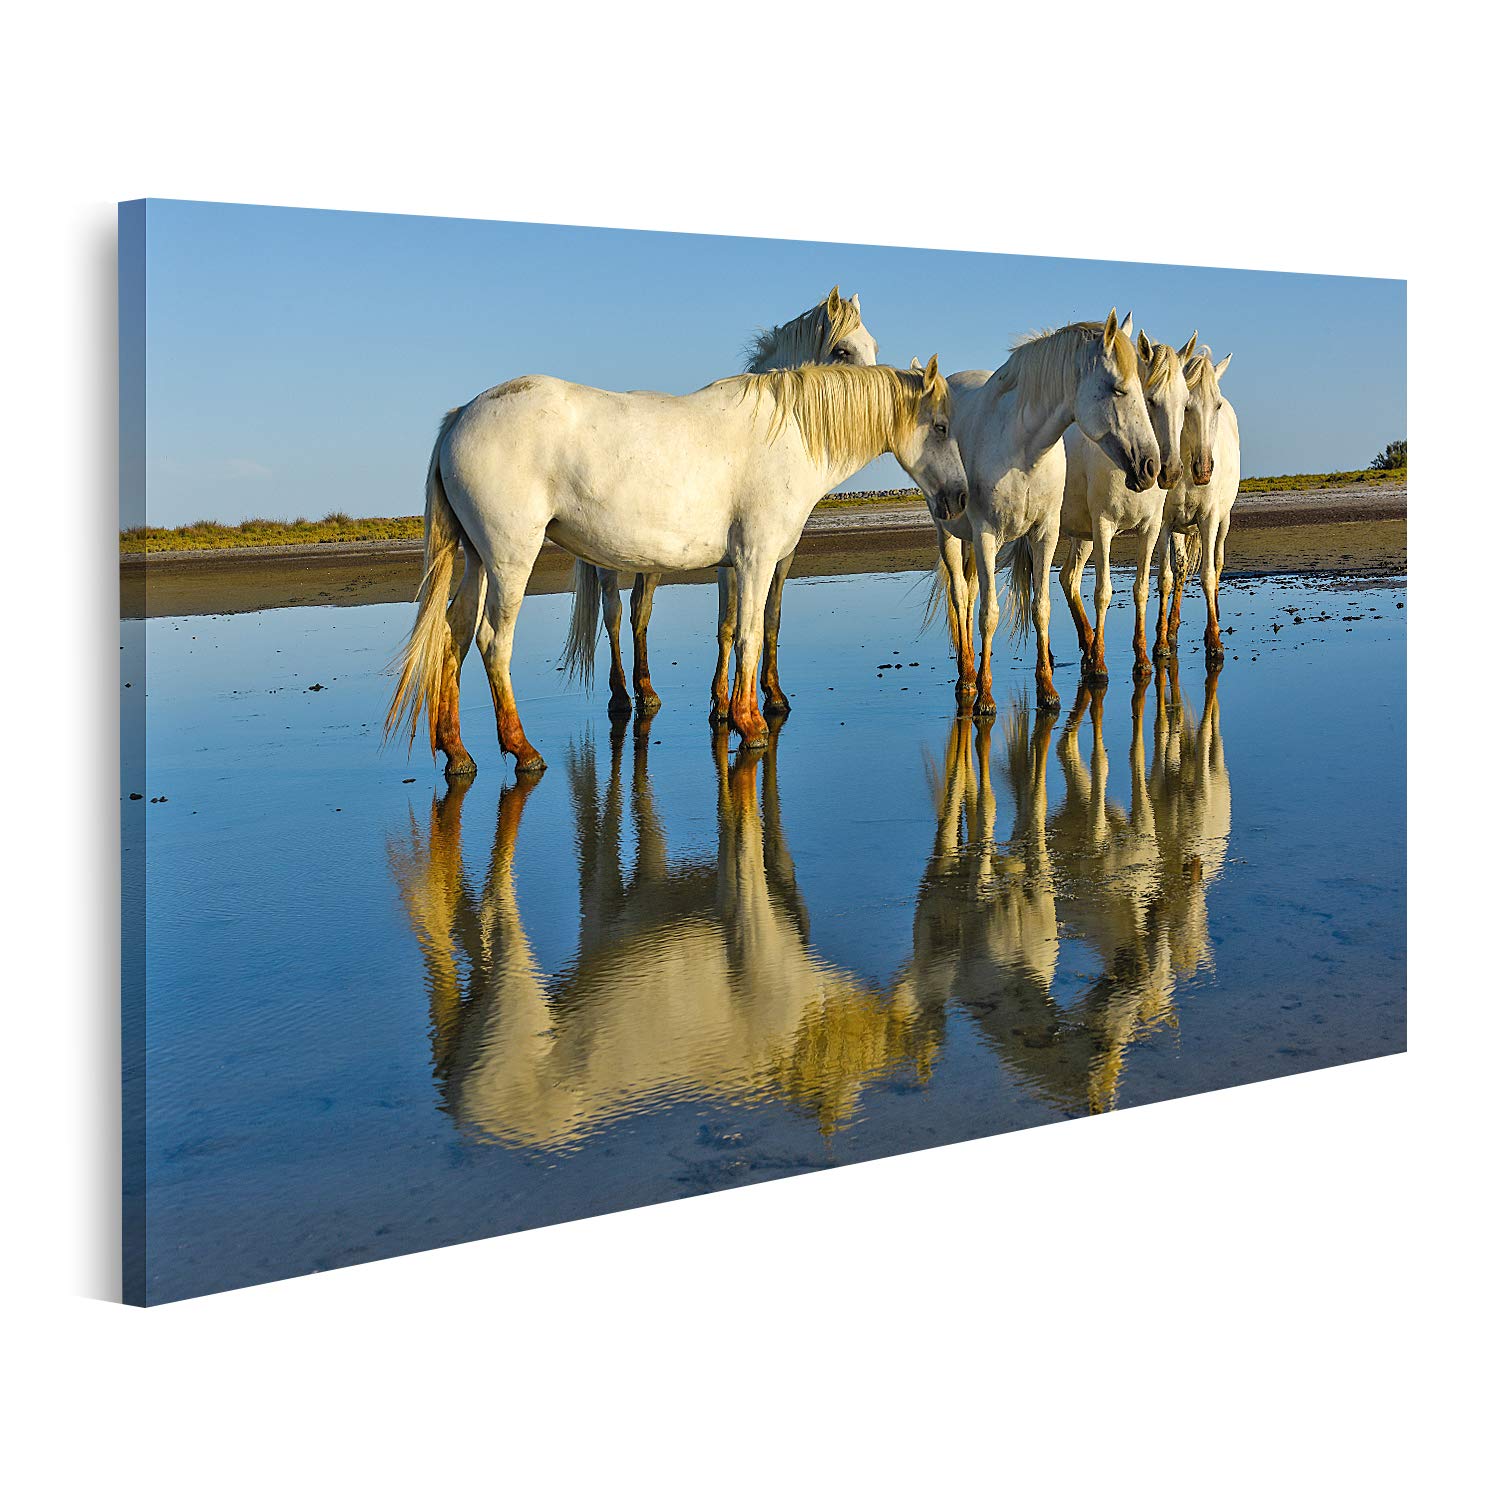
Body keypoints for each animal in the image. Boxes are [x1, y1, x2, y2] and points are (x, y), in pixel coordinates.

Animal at [386, 358, 967, 773]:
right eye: (940, 427)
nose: (961, 498)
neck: (790, 435)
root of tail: (461, 416)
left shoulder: (739, 565)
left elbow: (739, 632)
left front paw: (736, 714)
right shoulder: (755, 560)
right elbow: (750, 635)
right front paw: (751, 723)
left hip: (477, 558)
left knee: (455, 635)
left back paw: (458, 754)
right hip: (510, 557)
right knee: (492, 641)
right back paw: (522, 749)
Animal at [576, 285, 880, 721]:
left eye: (872, 345)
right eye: (842, 350)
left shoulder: (780, 558)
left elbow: (770, 619)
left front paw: (772, 694)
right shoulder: (732, 563)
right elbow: (729, 624)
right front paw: (722, 703)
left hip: (650, 563)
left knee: (639, 613)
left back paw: (646, 690)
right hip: (606, 561)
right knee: (614, 615)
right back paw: (620, 695)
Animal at [924, 312, 1160, 717]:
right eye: (1117, 389)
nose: (1150, 467)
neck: (1022, 448)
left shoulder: (1044, 534)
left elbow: (1041, 607)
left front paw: (1047, 690)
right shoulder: (986, 535)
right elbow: (989, 614)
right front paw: (985, 699)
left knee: (970, 596)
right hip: (950, 534)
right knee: (960, 596)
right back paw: (967, 679)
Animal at [1051, 331, 1200, 684]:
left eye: (1184, 402)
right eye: (1150, 400)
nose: (1170, 471)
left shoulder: (1151, 528)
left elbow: (1142, 588)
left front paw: (1143, 659)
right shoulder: (1104, 527)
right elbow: (1103, 592)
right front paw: (1100, 666)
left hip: (1082, 536)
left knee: (1068, 578)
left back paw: (1087, 646)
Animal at [1152, 349, 1238, 661]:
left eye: (1217, 405)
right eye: (1186, 407)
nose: (1205, 469)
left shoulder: (1209, 519)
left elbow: (1208, 574)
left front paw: (1214, 642)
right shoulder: (1164, 523)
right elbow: (1166, 577)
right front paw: (1162, 642)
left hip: (1223, 521)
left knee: (1218, 562)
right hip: (1179, 528)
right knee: (1180, 567)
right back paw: (1171, 628)